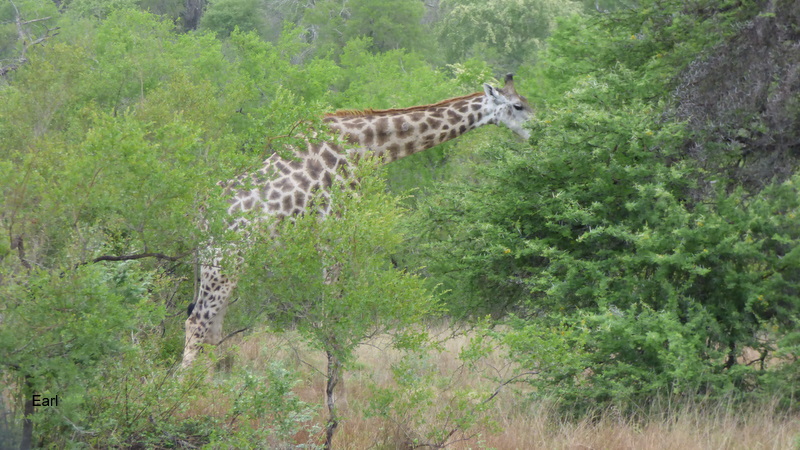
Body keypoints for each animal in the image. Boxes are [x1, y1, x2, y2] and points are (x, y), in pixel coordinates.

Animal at [181, 74, 533, 368]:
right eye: (518, 105)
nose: (539, 130)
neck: (363, 147)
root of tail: (200, 216)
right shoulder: (334, 229)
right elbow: (333, 318)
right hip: (224, 261)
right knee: (196, 322)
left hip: (231, 264)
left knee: (213, 328)